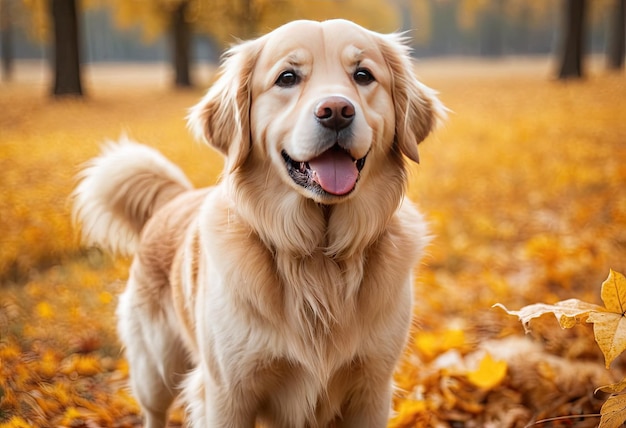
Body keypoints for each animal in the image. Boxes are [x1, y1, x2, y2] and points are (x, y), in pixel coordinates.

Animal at [73, 18, 442, 426]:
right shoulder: (226, 393)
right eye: (287, 78)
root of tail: (173, 199)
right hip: (155, 368)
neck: (317, 256)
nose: (336, 110)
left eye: (363, 75)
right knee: (154, 409)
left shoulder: (371, 390)